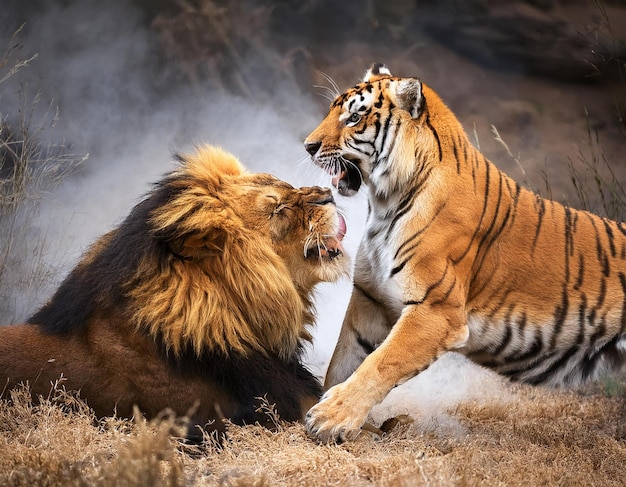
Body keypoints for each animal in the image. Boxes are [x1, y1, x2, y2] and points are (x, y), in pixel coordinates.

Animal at [300, 62, 620, 442]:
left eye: (353, 117)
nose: (308, 146)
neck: (383, 203)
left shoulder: (435, 311)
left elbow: (380, 363)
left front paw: (330, 417)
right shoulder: (369, 297)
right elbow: (342, 362)